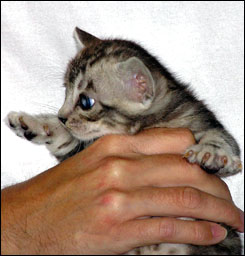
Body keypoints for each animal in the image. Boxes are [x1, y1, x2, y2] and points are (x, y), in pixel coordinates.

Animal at [6, 27, 242, 255]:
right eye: (66, 90)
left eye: (85, 102)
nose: (62, 116)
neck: (148, 124)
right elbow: (68, 141)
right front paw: (35, 124)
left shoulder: (198, 119)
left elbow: (221, 137)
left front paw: (213, 152)